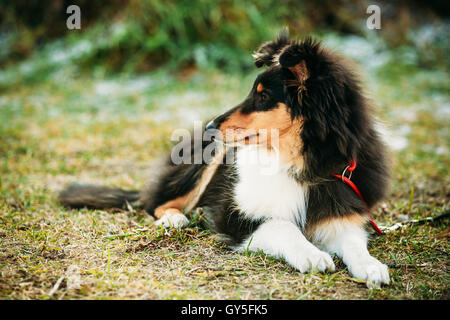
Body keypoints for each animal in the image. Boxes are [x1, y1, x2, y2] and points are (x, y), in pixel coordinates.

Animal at [59, 30, 390, 288]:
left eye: (263, 96)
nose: (210, 127)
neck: (297, 163)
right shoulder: (236, 216)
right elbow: (281, 226)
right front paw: (312, 255)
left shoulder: (341, 211)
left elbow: (353, 242)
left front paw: (371, 267)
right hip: (206, 161)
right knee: (157, 203)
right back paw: (176, 219)